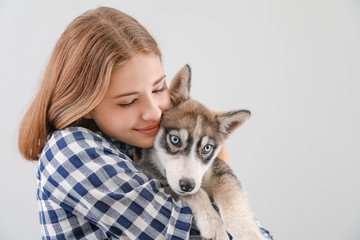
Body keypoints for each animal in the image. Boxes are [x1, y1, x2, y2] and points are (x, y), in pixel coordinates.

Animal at [138, 65, 268, 240]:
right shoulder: (161, 181)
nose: (187, 185)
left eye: (207, 148)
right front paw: (213, 225)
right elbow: (197, 193)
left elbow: (232, 201)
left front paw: (248, 233)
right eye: (175, 140)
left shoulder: (221, 171)